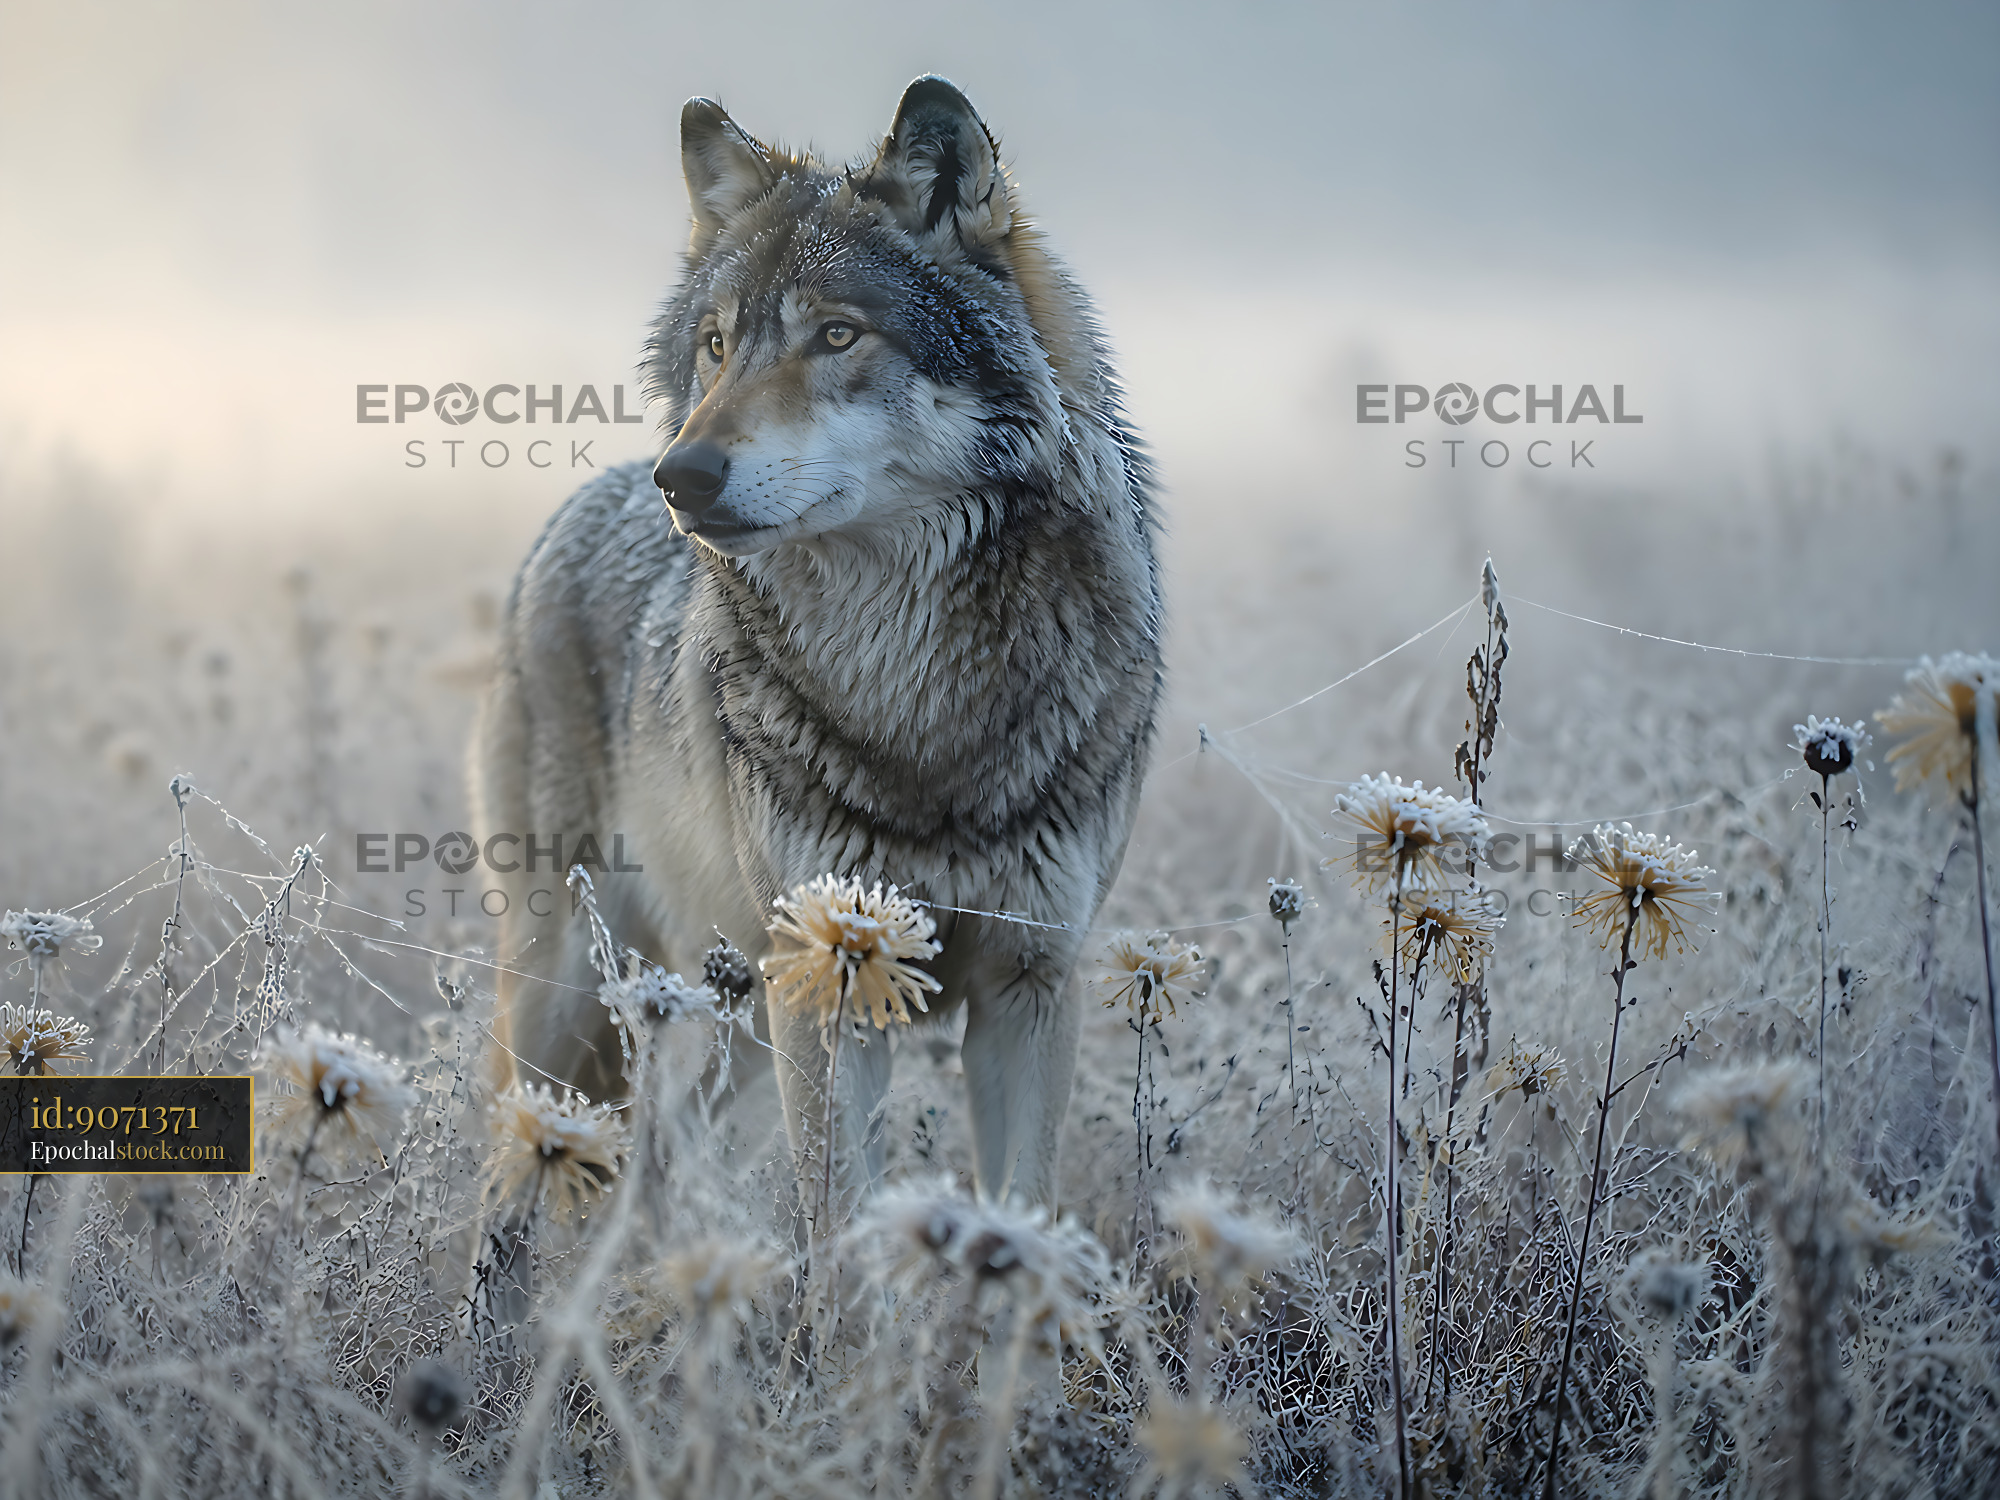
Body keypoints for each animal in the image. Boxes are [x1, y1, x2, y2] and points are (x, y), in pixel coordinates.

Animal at [473, 76, 1161, 1213]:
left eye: (837, 336)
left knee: (662, 1150)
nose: (681, 478)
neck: (914, 687)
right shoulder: (831, 981)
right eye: (715, 344)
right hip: (578, 992)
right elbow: (834, 1230)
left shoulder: (1029, 985)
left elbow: (1018, 1214)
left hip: (740, 1016)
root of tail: (562, 520)